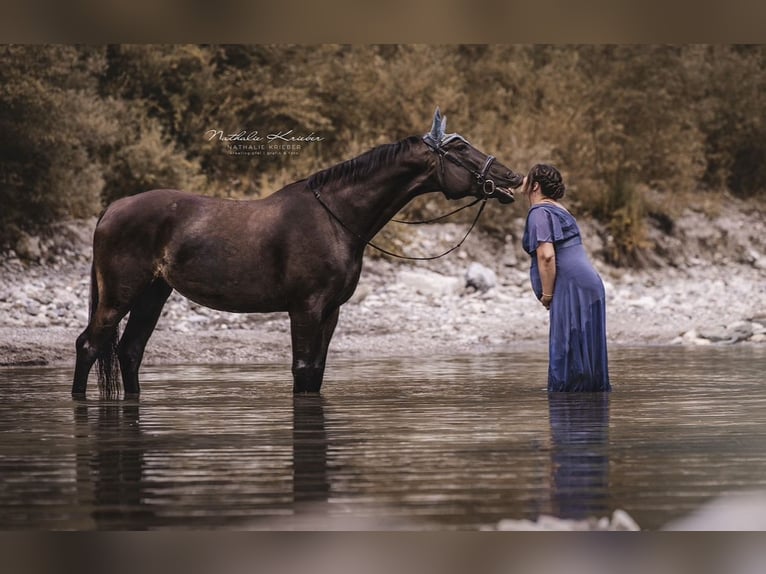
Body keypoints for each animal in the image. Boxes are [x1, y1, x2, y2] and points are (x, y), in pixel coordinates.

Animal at [72, 108, 524, 398]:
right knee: (90, 347)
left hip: (154, 293)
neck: (336, 218)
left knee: (130, 352)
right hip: (120, 295)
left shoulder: (331, 311)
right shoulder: (305, 308)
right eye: (461, 149)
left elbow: (317, 373)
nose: (511, 178)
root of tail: (114, 207)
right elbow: (303, 370)